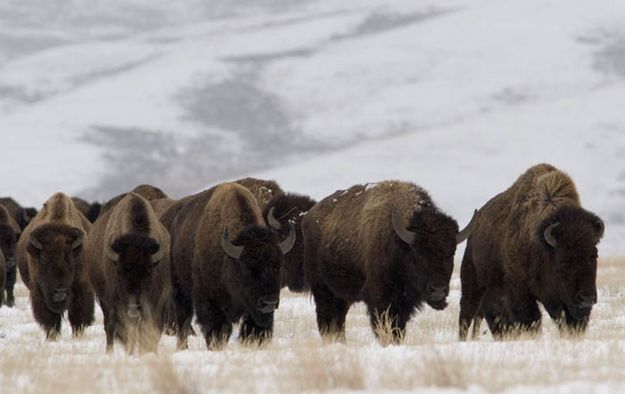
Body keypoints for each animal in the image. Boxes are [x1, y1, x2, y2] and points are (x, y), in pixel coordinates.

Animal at [15, 193, 93, 338]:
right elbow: (50, 319)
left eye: (70, 257)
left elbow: (79, 316)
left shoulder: (82, 286)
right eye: (45, 258)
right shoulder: (39, 290)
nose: (59, 292)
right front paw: (52, 336)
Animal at [86, 192, 172, 352]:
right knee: (109, 329)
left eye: (149, 272)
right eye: (119, 271)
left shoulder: (156, 303)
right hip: (104, 302)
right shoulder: (115, 303)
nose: (134, 308)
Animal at [165, 183, 294, 350]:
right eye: (247, 267)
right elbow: (218, 329)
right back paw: (182, 347)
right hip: (180, 288)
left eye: (278, 266)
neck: (231, 259)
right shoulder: (211, 302)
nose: (269, 303)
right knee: (183, 319)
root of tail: (176, 223)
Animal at [302, 182, 472, 344]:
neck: (400, 243)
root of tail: (308, 217)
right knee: (326, 319)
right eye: (419, 254)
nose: (438, 291)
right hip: (323, 290)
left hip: (341, 296)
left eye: (451, 253)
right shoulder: (381, 299)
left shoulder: (404, 304)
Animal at [458, 163, 604, 338]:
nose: (586, 298)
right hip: (472, 284)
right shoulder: (520, 294)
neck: (542, 247)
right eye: (565, 259)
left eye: (594, 255)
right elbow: (531, 319)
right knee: (467, 314)